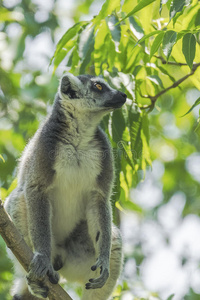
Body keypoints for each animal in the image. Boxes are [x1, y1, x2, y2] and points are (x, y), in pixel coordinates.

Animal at [4, 73, 126, 300]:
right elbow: (35, 189)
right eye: (98, 86)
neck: (79, 136)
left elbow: (99, 199)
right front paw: (42, 257)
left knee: (114, 243)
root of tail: (60, 259)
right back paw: (36, 279)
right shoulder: (45, 146)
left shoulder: (103, 151)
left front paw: (104, 261)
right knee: (18, 199)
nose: (123, 95)